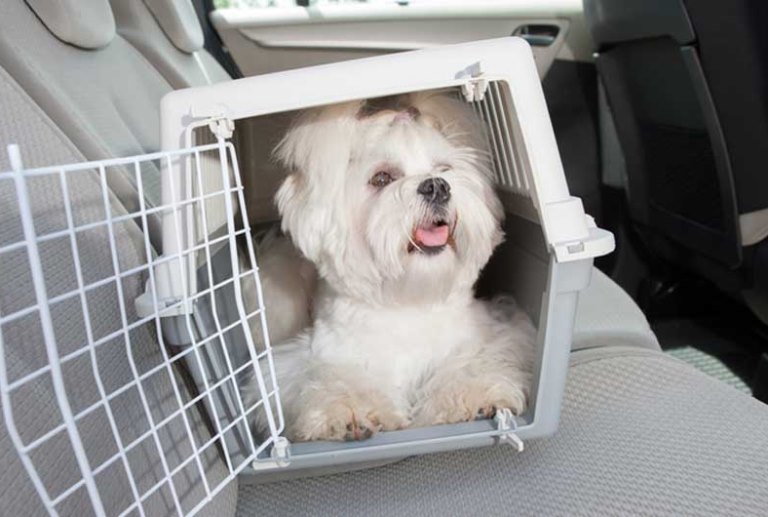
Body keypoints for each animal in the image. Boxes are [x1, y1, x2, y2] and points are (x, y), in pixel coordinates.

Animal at [248, 91, 535, 442]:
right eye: (382, 178)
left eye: (445, 169)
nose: (437, 186)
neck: (407, 301)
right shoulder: (317, 356)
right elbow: (336, 378)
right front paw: (351, 411)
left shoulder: (489, 335)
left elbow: (471, 363)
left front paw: (472, 396)